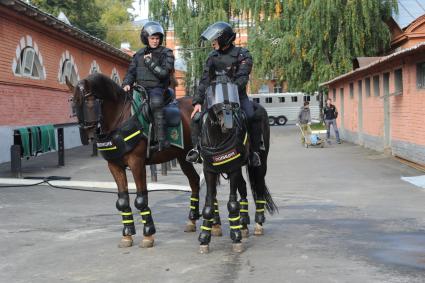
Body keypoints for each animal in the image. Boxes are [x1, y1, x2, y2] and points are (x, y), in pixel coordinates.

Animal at [67, 73, 201, 248]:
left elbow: (141, 199)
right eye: (74, 105)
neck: (119, 119)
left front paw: (148, 234)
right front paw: (127, 235)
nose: (86, 135)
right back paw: (192, 220)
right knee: (195, 181)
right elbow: (123, 200)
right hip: (183, 157)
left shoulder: (137, 163)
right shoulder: (114, 166)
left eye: (90, 103)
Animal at [197, 81, 276, 254]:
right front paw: (205, 239)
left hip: (260, 164)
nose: (228, 125)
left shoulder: (233, 169)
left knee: (259, 187)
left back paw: (258, 224)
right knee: (244, 189)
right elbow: (208, 204)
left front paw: (236, 237)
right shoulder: (209, 171)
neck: (218, 139)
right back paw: (244, 223)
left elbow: (232, 203)